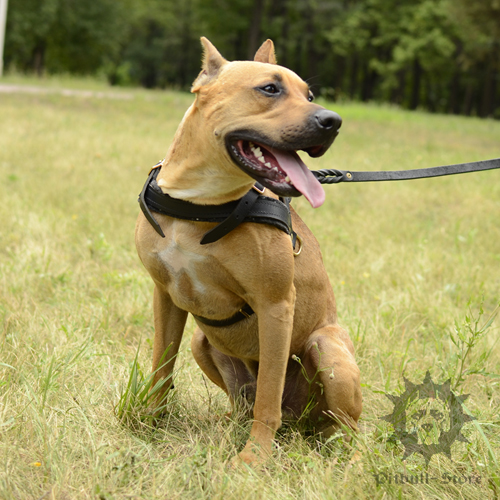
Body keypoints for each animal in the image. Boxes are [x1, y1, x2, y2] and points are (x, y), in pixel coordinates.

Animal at [135, 36, 362, 464]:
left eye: (309, 95)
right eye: (269, 89)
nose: (333, 121)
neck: (201, 203)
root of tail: (300, 423)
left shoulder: (275, 306)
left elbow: (269, 395)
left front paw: (255, 458)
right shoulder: (165, 296)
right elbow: (161, 366)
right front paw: (145, 423)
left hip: (327, 348)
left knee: (347, 428)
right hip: (202, 342)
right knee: (242, 403)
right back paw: (227, 422)